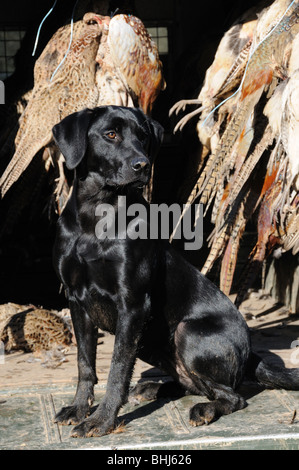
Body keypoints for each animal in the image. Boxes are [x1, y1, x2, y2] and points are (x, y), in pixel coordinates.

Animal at [52, 105, 298, 436]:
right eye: (111, 134)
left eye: (143, 137)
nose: (142, 165)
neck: (96, 217)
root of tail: (249, 353)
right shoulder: (77, 301)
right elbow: (84, 364)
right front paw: (79, 409)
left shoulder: (132, 304)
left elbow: (117, 369)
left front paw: (102, 420)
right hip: (152, 342)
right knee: (192, 384)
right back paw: (154, 389)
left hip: (186, 332)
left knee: (232, 396)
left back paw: (203, 409)